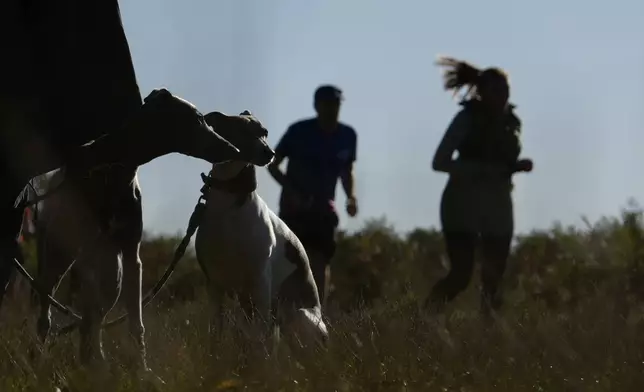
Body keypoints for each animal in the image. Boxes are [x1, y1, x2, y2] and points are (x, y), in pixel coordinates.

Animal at [195, 110, 328, 350]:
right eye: (241, 130)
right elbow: (216, 330)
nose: (270, 152)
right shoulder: (214, 284)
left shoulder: (260, 283)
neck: (228, 204)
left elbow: (260, 337)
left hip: (297, 315)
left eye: (264, 132)